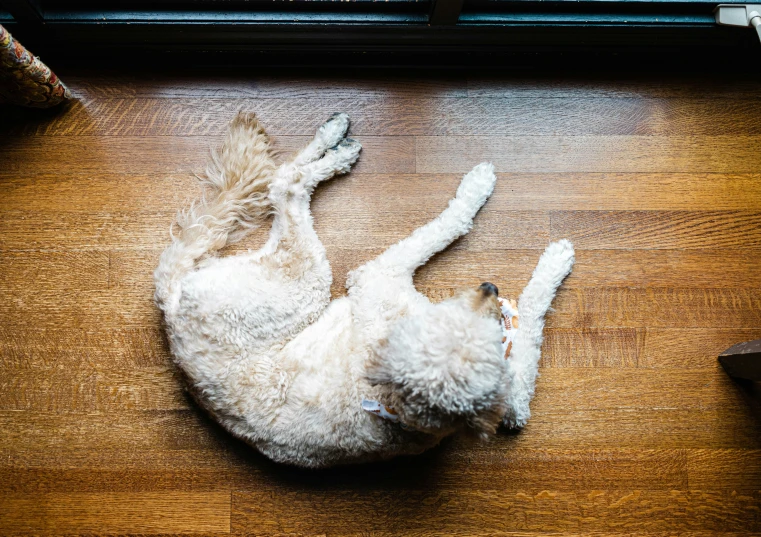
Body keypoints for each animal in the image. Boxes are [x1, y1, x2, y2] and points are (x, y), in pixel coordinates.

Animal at [153, 112, 568, 464]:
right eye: (446, 321)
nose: (491, 288)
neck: (393, 404)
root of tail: (170, 305)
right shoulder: (378, 274)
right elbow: (450, 227)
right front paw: (547, 254)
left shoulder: (513, 404)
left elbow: (526, 353)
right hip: (302, 278)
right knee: (286, 184)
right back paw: (337, 149)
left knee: (284, 182)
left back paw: (334, 140)